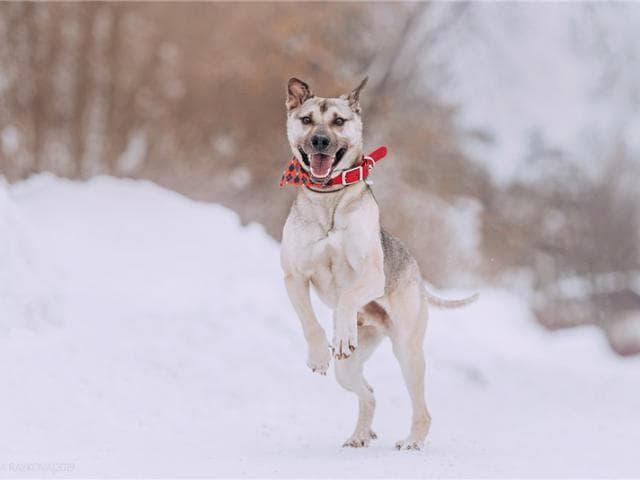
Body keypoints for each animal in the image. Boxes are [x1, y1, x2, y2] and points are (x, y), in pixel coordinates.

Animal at [278, 76, 476, 450]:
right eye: (307, 120)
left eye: (339, 121)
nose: (320, 141)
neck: (328, 199)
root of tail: (416, 269)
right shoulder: (294, 275)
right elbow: (309, 320)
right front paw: (318, 353)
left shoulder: (371, 275)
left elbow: (345, 297)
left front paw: (341, 331)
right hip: (352, 365)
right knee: (367, 392)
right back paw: (360, 434)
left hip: (408, 351)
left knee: (421, 408)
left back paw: (412, 441)